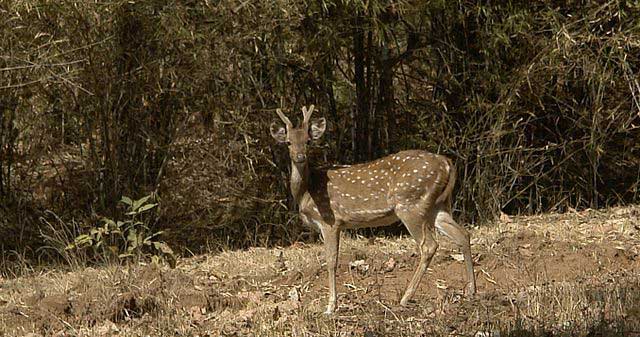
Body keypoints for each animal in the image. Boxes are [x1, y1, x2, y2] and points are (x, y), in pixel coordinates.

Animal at [270, 105, 476, 312]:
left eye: (308, 140)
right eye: (288, 142)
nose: (300, 157)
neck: (307, 190)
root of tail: (447, 163)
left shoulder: (330, 220)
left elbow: (331, 261)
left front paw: (330, 307)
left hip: (410, 204)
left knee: (429, 245)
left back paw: (405, 298)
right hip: (438, 205)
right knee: (463, 234)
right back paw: (471, 291)